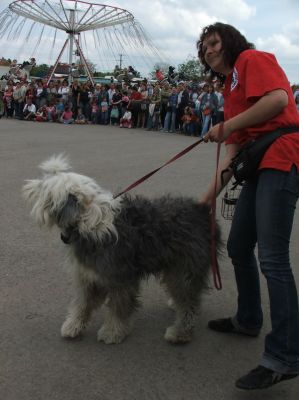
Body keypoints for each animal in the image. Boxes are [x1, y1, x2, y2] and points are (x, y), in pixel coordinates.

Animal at [22, 155, 221, 346]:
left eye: (44, 187)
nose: (26, 185)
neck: (89, 225)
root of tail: (202, 211)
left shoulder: (120, 279)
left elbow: (118, 309)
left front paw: (112, 333)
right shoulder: (88, 276)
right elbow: (82, 304)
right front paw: (73, 326)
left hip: (184, 269)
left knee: (189, 304)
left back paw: (180, 333)